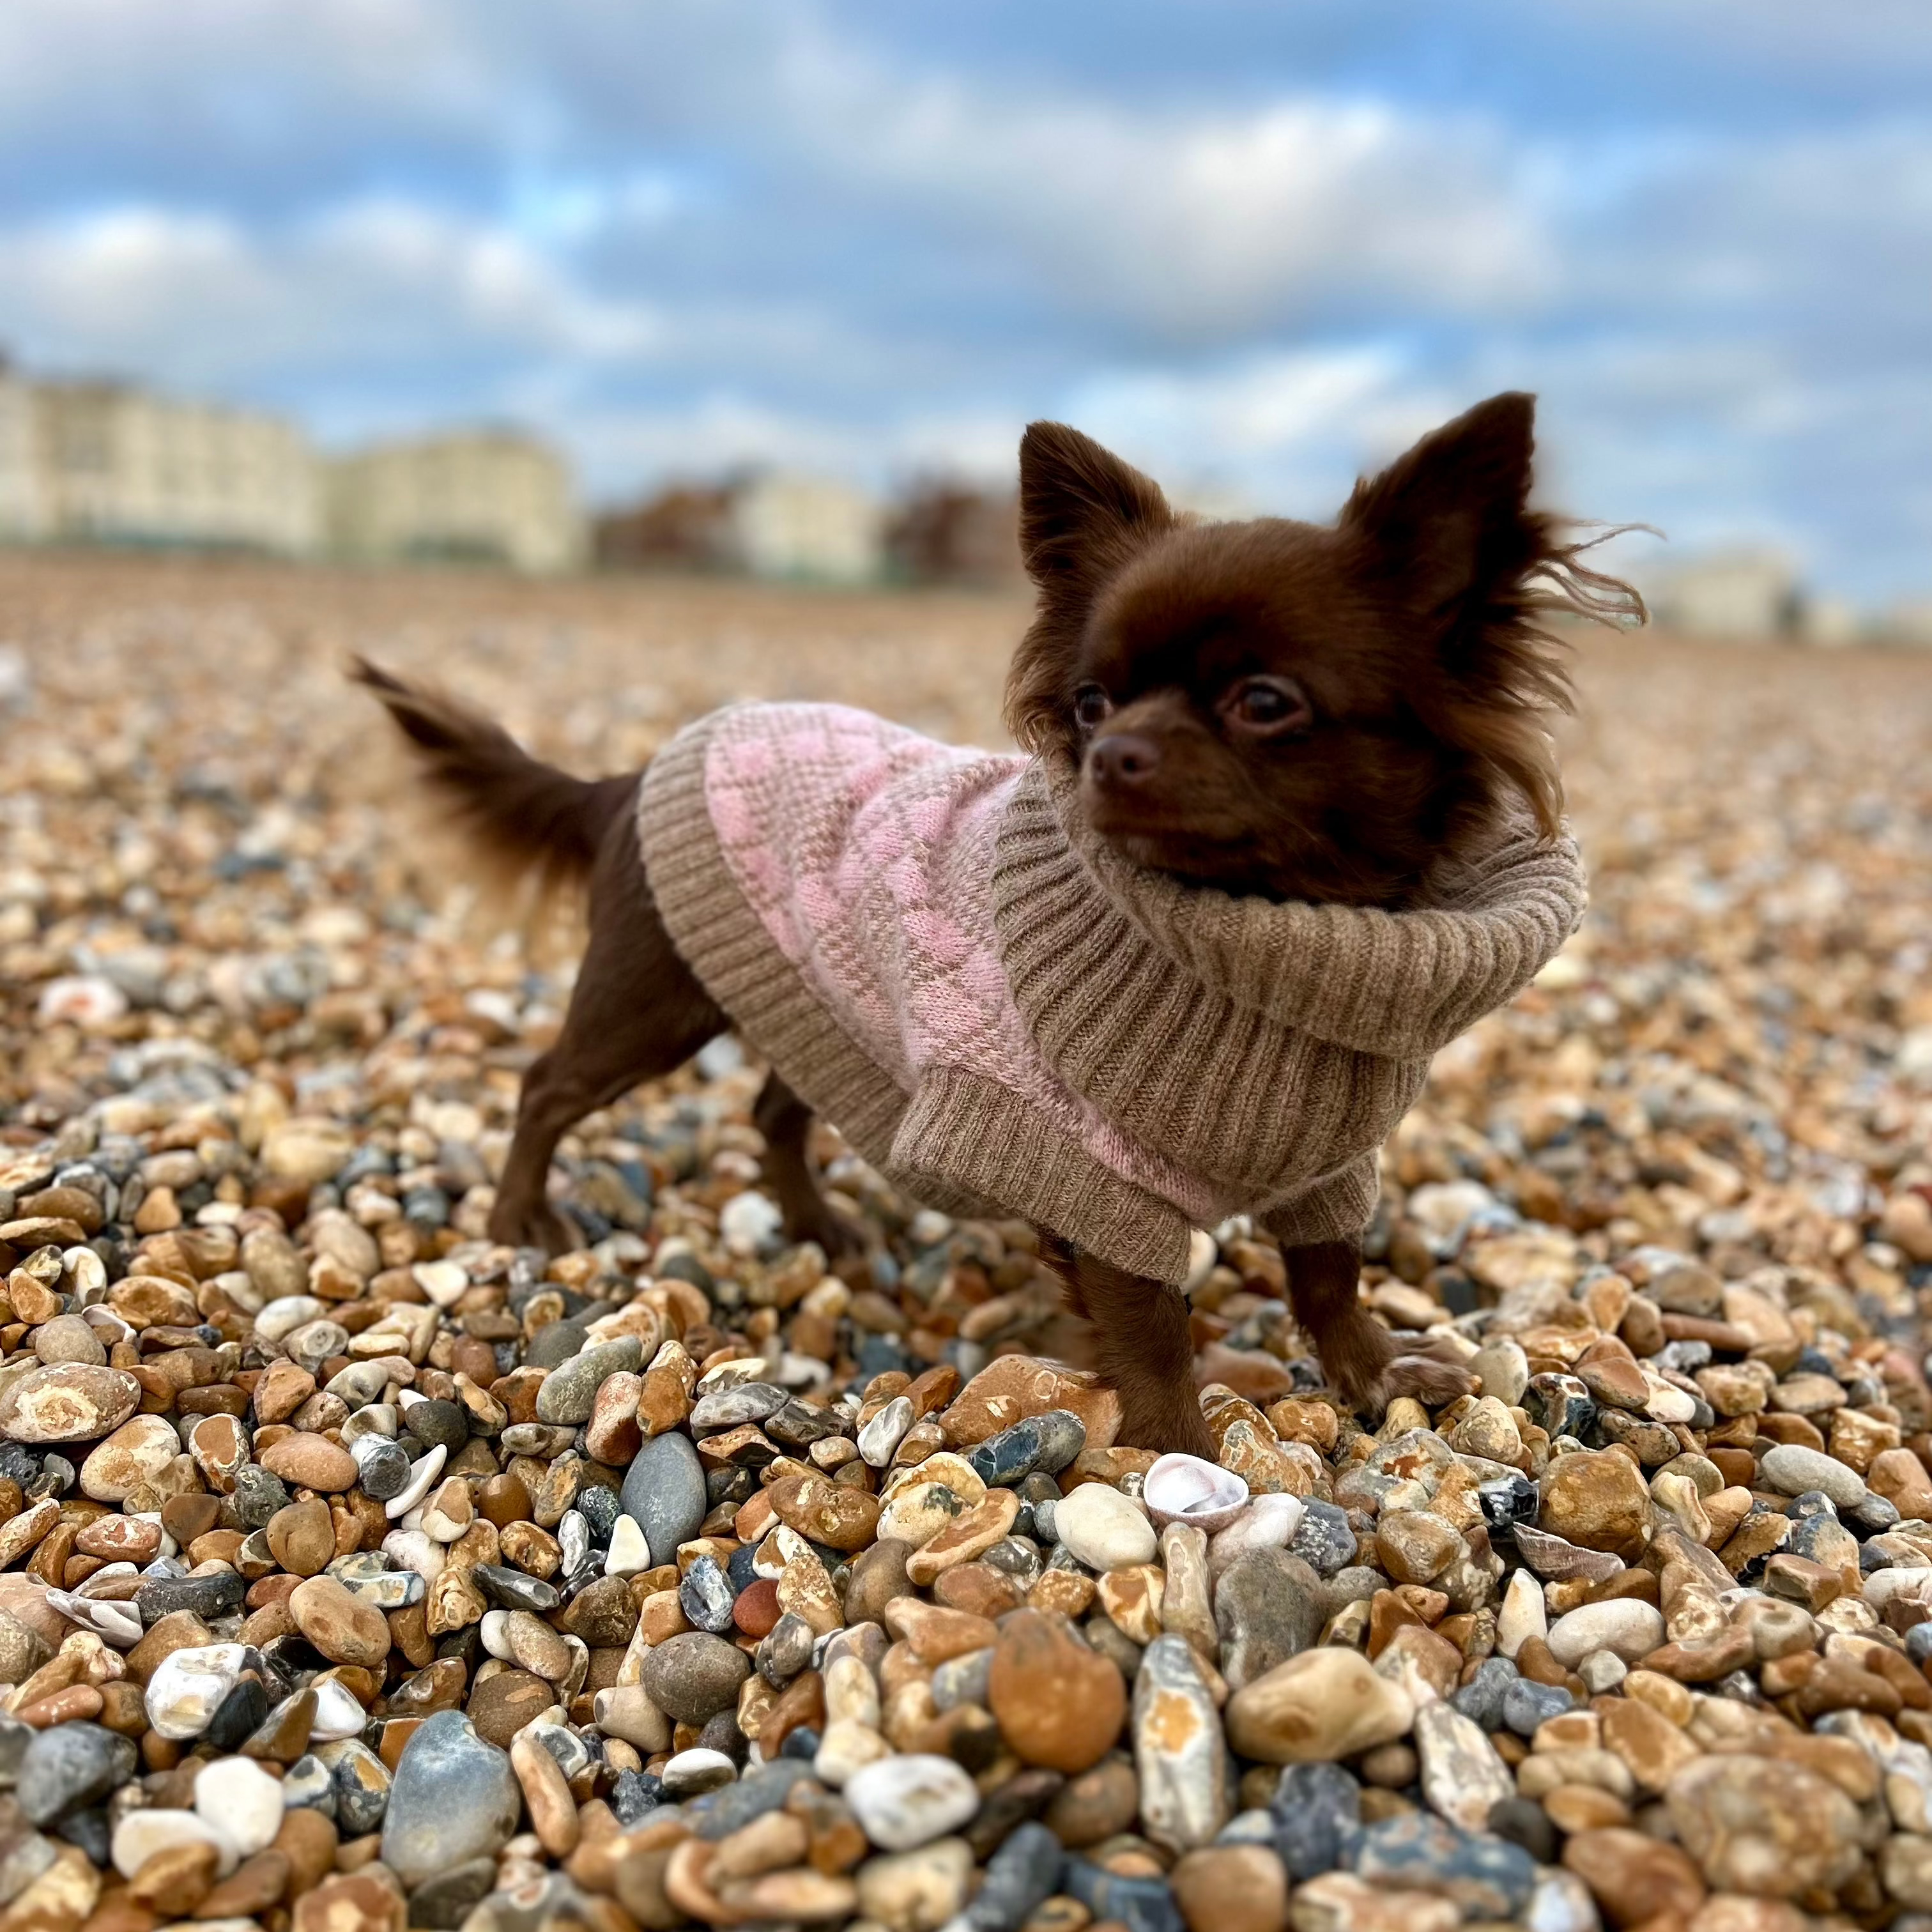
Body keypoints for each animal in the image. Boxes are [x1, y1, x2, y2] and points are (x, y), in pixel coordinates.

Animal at [355, 388, 1638, 1453]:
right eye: (1092, 701)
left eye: (1264, 702)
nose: (1112, 753)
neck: (1271, 945)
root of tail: (627, 778)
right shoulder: (1088, 1178)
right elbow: (1152, 1322)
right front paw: (1178, 1453)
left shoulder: (1328, 1164)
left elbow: (1329, 1273)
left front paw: (1372, 1374)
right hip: (653, 999)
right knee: (546, 1086)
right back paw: (519, 1220)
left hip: (827, 1008)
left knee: (774, 1110)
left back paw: (819, 1227)